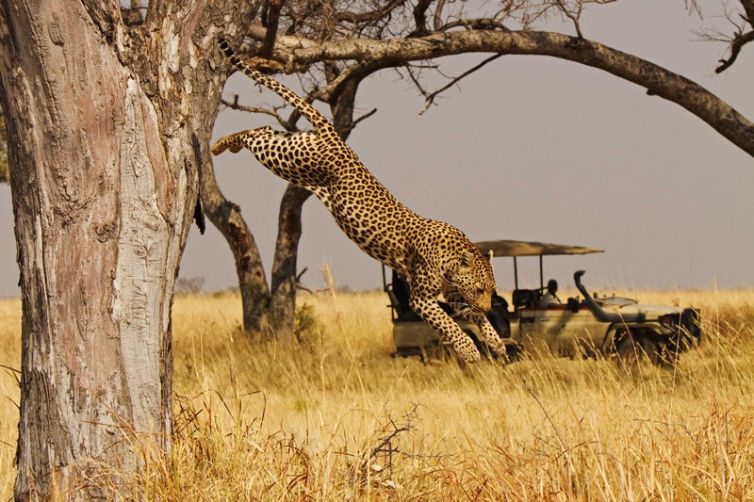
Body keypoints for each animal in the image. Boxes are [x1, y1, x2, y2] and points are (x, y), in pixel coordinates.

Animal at [211, 39, 506, 363]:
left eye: (491, 289)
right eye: (480, 288)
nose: (491, 305)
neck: (452, 258)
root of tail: (335, 136)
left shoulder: (453, 295)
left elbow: (474, 318)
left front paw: (496, 341)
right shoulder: (421, 299)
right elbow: (450, 325)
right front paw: (469, 350)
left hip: (293, 148)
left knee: (264, 129)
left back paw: (224, 144)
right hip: (292, 161)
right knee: (256, 134)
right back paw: (220, 144)